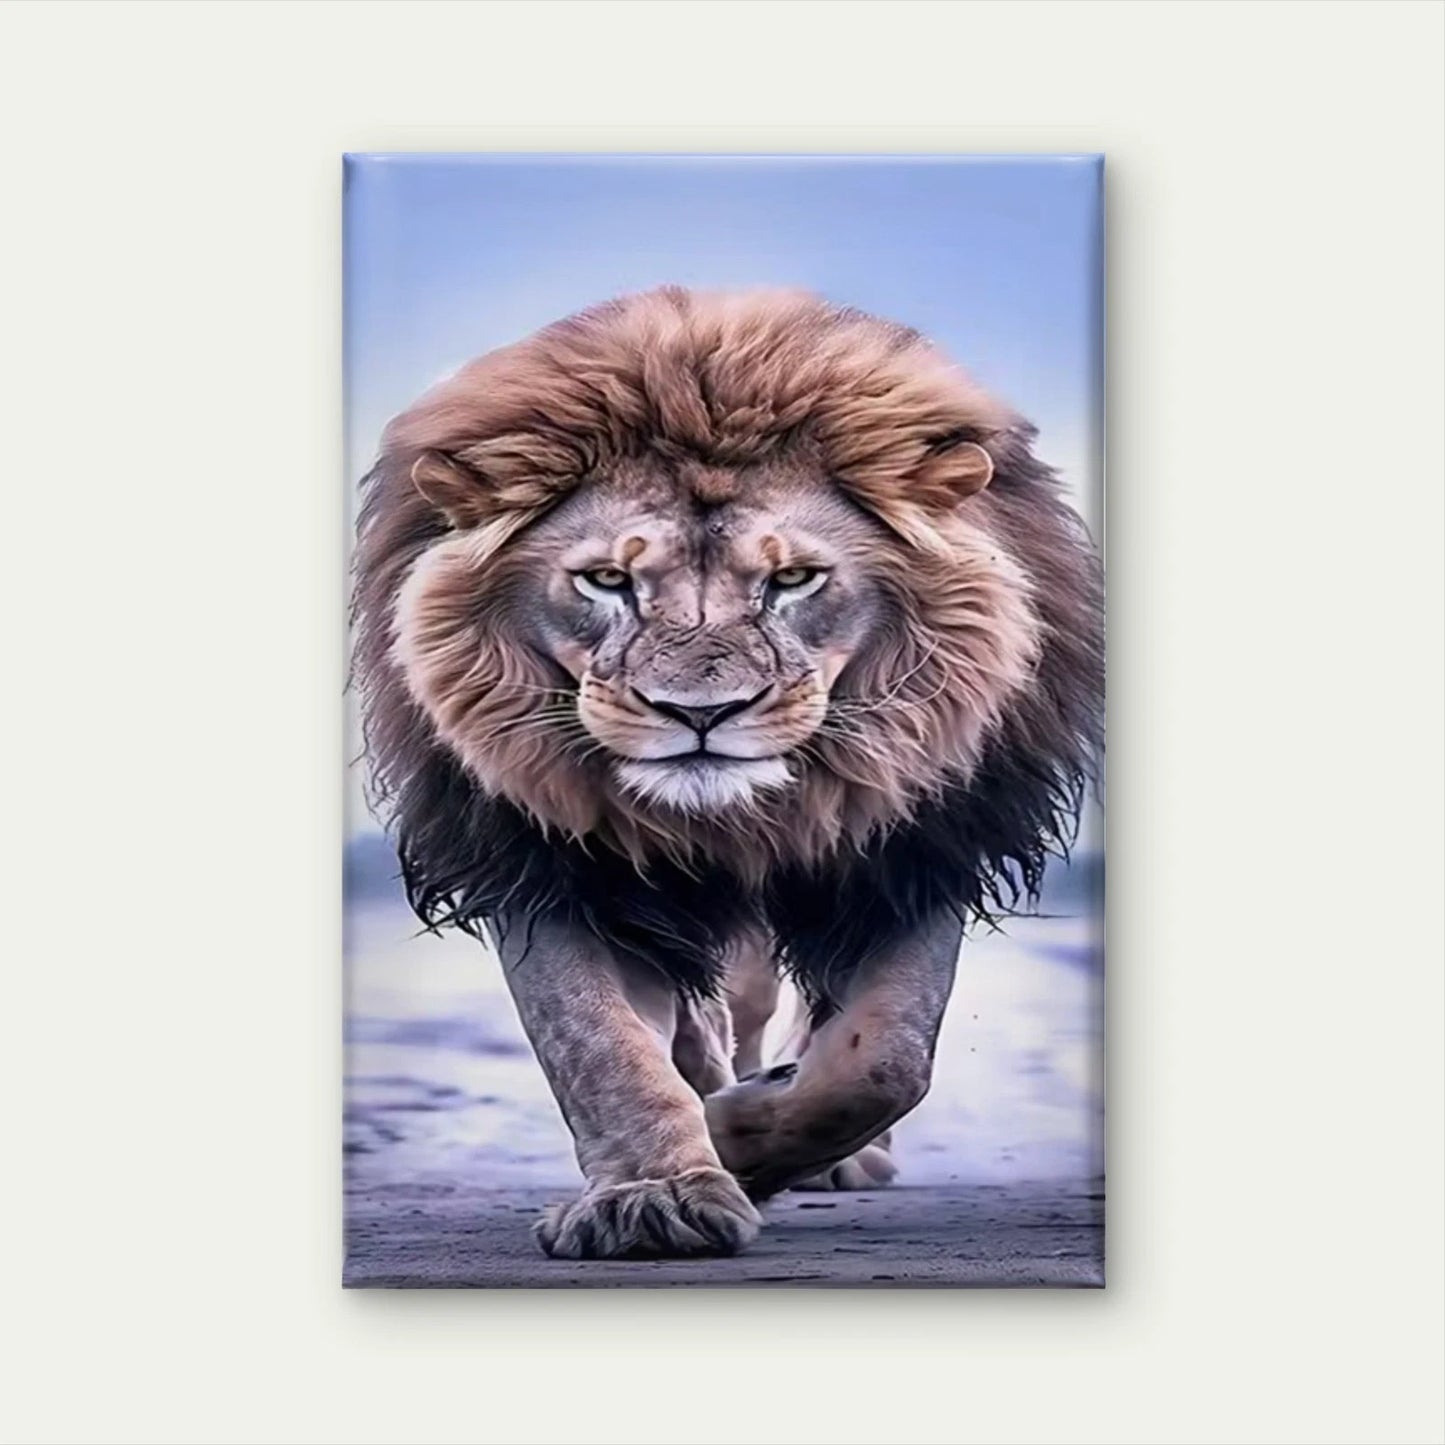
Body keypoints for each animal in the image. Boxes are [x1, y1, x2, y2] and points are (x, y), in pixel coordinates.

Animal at [352, 287, 1103, 1260]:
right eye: (605, 579)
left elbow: (884, 1056)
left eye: (793, 578)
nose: (699, 713)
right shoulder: (541, 858)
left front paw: (741, 1139)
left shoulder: (921, 843)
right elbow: (594, 1040)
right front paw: (656, 1195)